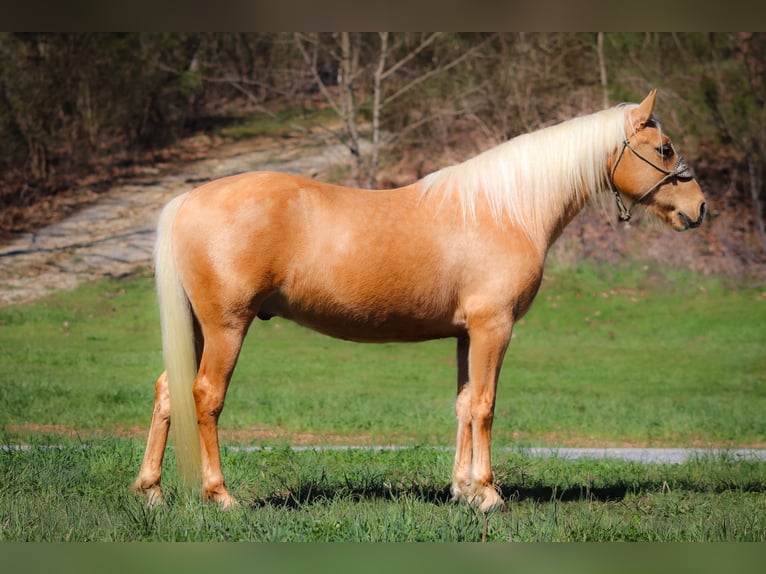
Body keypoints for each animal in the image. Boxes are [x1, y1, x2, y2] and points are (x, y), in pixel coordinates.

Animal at [134, 91, 708, 512]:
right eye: (664, 148)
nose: (700, 208)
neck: (506, 209)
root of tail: (188, 199)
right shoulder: (494, 327)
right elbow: (485, 405)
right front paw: (489, 495)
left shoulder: (466, 333)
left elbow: (463, 404)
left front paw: (463, 490)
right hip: (227, 326)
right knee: (205, 396)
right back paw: (220, 496)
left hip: (197, 327)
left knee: (167, 392)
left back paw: (152, 492)